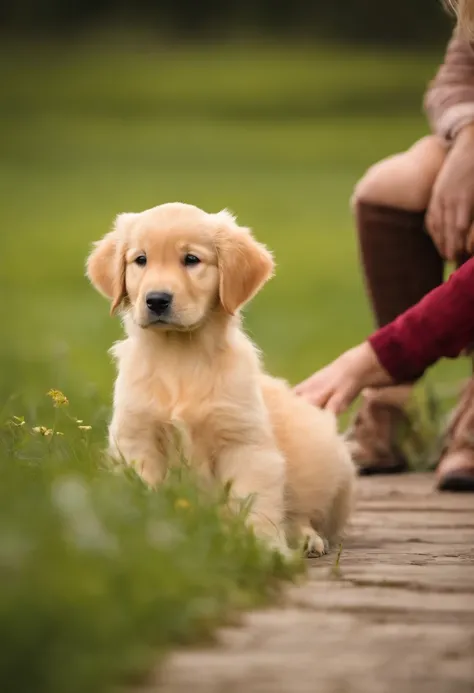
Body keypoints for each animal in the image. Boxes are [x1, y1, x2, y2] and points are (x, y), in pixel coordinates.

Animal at [85, 201, 354, 556]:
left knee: (300, 514)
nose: (156, 300)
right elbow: (147, 496)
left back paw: (307, 538)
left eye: (191, 259)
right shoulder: (136, 438)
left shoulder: (244, 444)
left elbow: (256, 504)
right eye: (140, 259)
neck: (181, 356)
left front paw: (267, 550)